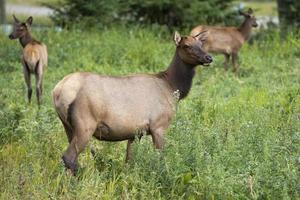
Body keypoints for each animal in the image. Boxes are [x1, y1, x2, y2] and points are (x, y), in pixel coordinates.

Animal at [52, 30, 213, 174]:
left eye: (201, 44)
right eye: (186, 45)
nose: (209, 57)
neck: (173, 88)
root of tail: (58, 91)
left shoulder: (135, 133)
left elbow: (129, 162)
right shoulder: (159, 125)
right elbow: (161, 158)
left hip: (67, 125)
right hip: (85, 123)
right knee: (69, 157)